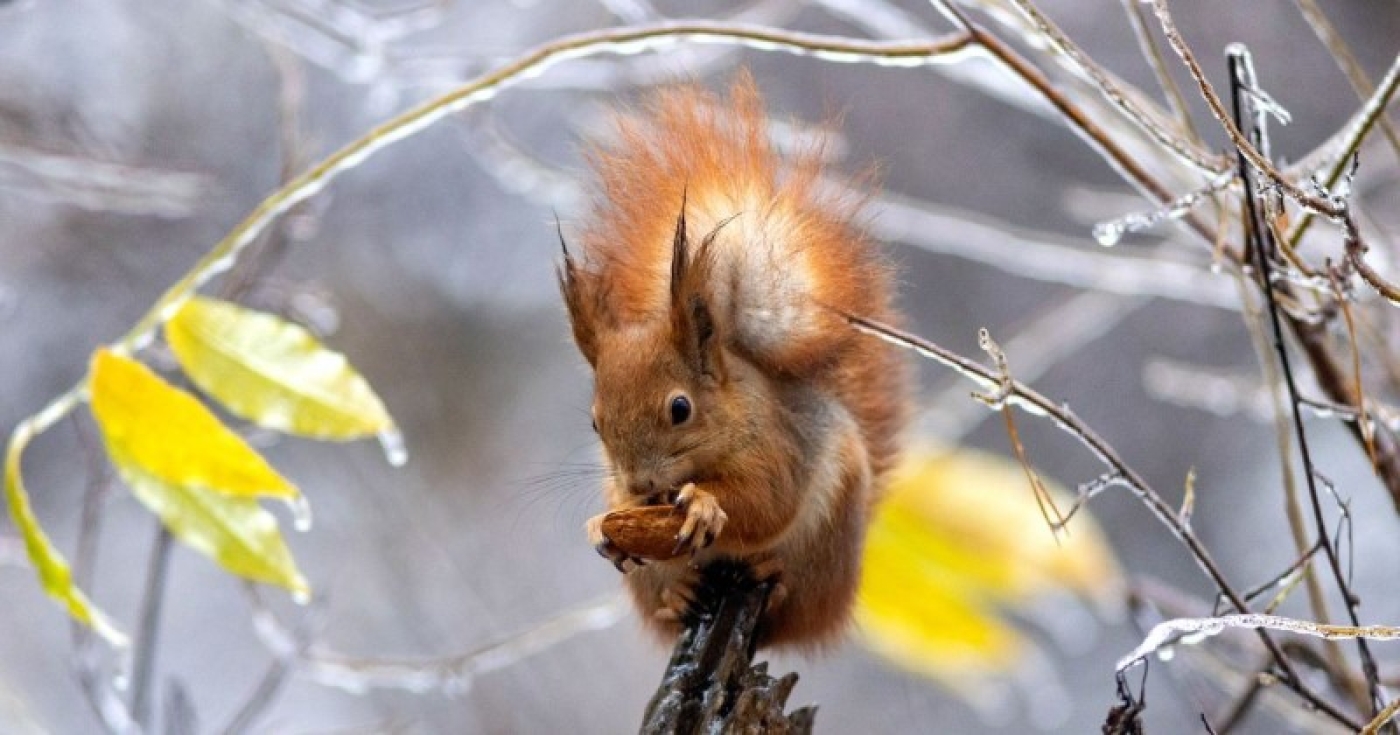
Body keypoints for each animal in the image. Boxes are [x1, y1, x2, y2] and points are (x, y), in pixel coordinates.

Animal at [557, 73, 907, 646]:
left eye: (680, 409)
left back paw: (776, 577)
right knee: (666, 603)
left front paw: (704, 505)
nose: (639, 486)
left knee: (793, 601)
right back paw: (679, 595)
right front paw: (601, 527)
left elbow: (765, 503)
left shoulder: (777, 448)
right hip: (653, 585)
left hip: (827, 537)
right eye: (593, 422)